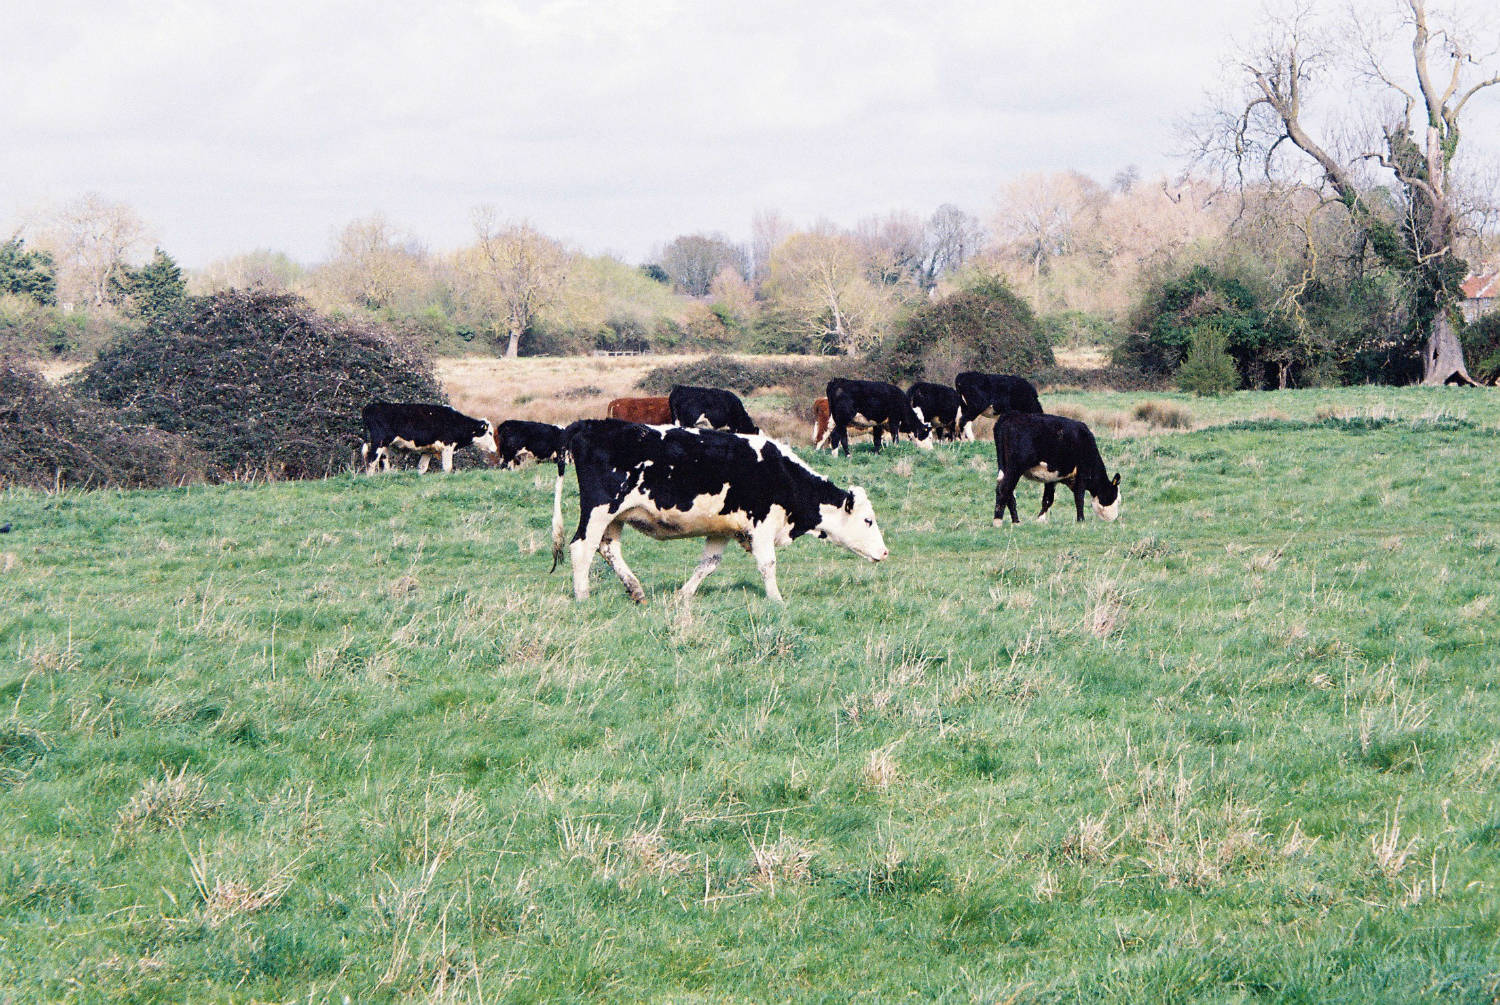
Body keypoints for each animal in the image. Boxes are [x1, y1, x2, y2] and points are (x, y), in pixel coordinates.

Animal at [360, 402, 497, 474]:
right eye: (490, 433)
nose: (495, 449)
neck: (456, 422)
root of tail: (370, 406)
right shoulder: (448, 446)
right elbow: (448, 467)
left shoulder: (428, 450)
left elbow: (422, 467)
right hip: (379, 441)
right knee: (371, 460)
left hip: (384, 444)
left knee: (383, 459)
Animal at [550, 419, 887, 604]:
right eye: (868, 520)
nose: (885, 552)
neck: (781, 473)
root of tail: (590, 423)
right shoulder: (761, 524)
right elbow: (767, 564)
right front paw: (777, 600)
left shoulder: (722, 528)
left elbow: (708, 564)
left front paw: (683, 596)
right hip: (599, 509)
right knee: (582, 548)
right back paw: (583, 596)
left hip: (616, 517)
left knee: (608, 549)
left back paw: (636, 590)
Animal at [993, 413, 1121, 525]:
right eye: (1116, 499)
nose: (1114, 518)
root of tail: (1009, 416)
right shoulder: (1082, 474)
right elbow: (1079, 498)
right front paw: (1081, 520)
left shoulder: (1051, 478)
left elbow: (1048, 499)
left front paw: (1040, 520)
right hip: (1015, 468)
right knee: (1004, 488)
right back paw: (998, 521)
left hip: (1003, 467)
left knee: (1006, 491)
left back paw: (1016, 521)